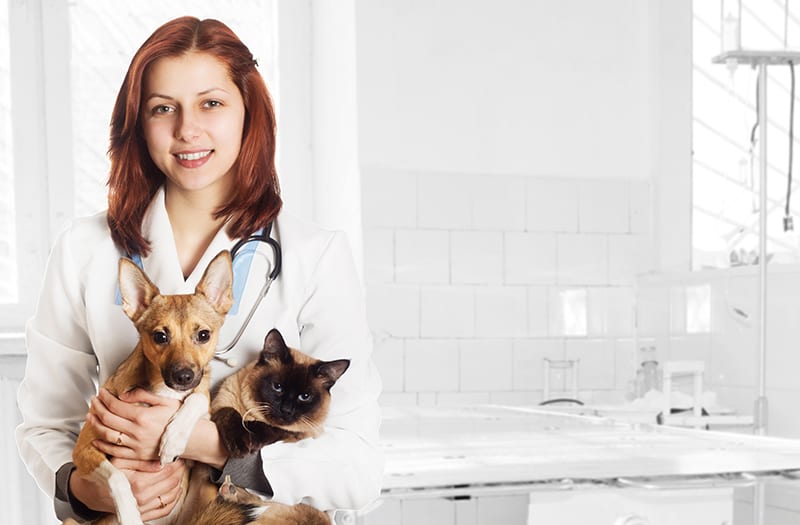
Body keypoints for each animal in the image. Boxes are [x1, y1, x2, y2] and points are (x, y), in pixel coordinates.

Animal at [67, 251, 233, 524]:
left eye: (204, 335)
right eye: (160, 337)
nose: (184, 376)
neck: (165, 390)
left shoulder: (204, 408)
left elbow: (197, 399)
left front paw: (173, 439)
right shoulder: (83, 451)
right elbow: (117, 477)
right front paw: (130, 515)